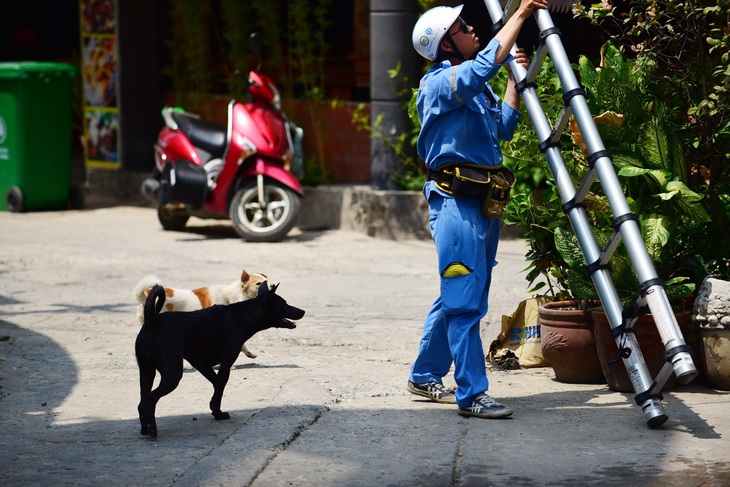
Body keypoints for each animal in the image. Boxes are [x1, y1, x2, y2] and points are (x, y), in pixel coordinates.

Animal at [135, 282, 302, 438]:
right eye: (284, 304)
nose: (303, 311)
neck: (242, 315)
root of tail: (152, 322)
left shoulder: (201, 364)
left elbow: (216, 384)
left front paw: (214, 407)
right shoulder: (226, 363)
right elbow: (221, 385)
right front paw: (218, 412)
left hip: (146, 372)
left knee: (142, 403)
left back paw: (144, 428)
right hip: (172, 375)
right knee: (151, 398)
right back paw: (152, 428)